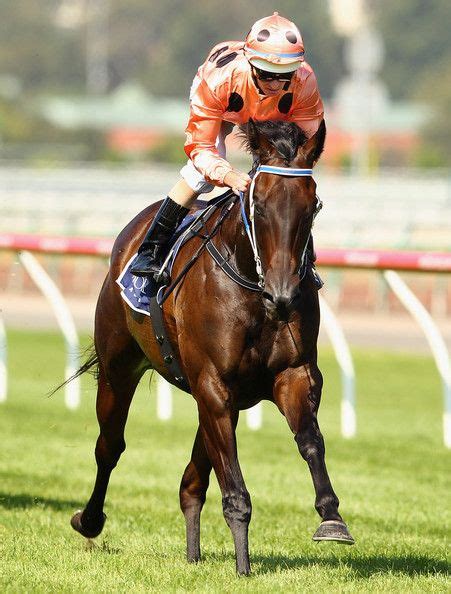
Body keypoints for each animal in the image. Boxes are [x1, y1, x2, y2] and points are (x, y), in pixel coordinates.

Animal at [69, 118, 354, 576]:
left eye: (312, 207)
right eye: (259, 206)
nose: (283, 294)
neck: (253, 285)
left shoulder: (289, 375)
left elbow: (310, 439)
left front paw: (331, 518)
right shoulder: (213, 384)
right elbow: (235, 488)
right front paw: (243, 566)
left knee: (191, 481)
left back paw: (192, 552)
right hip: (119, 368)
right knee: (110, 446)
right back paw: (90, 520)